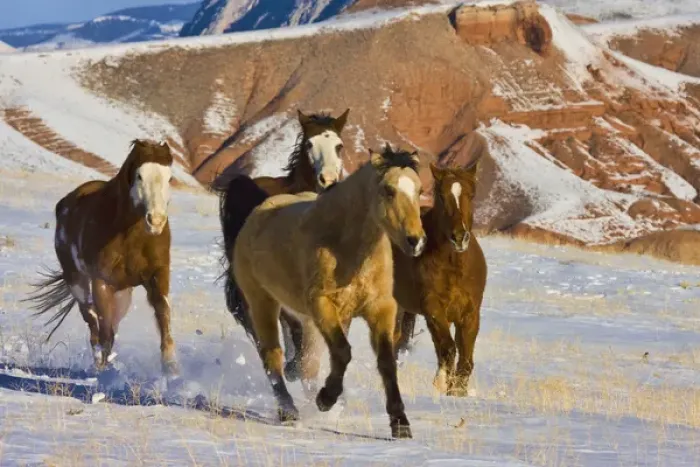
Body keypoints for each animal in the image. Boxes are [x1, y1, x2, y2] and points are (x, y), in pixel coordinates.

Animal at [25, 139, 179, 377]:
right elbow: (105, 330)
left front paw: (171, 367)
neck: (130, 236)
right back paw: (98, 362)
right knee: (92, 320)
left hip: (123, 294)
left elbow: (163, 315)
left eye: (169, 178)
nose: (156, 221)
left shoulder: (157, 275)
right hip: (77, 282)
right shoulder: (102, 282)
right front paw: (105, 369)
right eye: (139, 176)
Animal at [228, 146, 426, 439]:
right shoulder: (321, 303)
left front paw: (400, 423)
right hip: (262, 302)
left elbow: (386, 362)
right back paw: (288, 411)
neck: (346, 246)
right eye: (388, 190)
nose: (416, 241)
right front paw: (326, 398)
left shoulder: (380, 308)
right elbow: (343, 351)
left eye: (419, 190)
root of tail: (256, 214)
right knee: (273, 357)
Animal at [392, 161, 487, 396]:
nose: (459, 237)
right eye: (442, 196)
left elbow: (465, 356)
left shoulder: (470, 313)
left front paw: (457, 391)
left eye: (471, 194)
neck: (454, 266)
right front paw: (442, 383)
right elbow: (448, 347)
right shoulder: (433, 309)